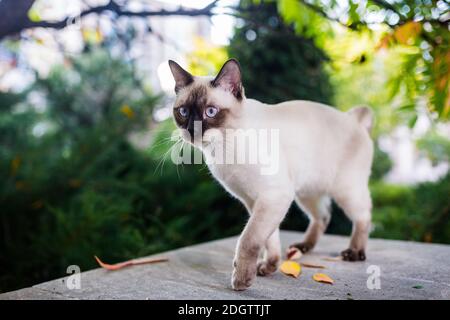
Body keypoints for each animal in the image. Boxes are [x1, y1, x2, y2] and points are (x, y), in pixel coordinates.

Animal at [168, 58, 372, 292]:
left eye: (211, 111)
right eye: (183, 112)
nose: (192, 130)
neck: (224, 148)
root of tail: (353, 118)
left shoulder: (273, 196)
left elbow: (250, 239)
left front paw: (241, 281)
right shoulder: (255, 201)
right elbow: (269, 239)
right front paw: (269, 266)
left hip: (345, 190)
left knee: (363, 216)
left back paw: (354, 253)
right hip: (307, 193)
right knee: (323, 216)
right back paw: (303, 246)